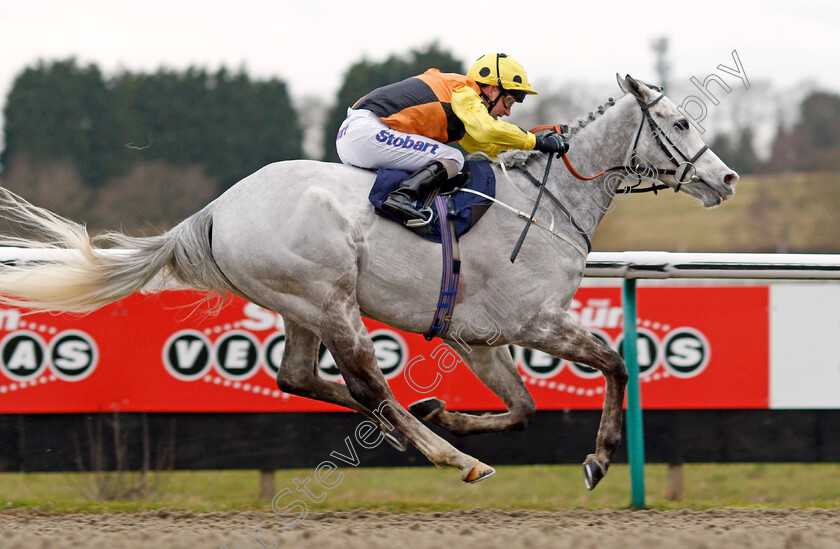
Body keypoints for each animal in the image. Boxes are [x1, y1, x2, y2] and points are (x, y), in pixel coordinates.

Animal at [0, 74, 736, 488]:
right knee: (368, 387)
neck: (548, 201)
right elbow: (615, 363)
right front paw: (600, 458)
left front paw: (451, 411)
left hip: (299, 305)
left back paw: (428, 424)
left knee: (300, 378)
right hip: (330, 301)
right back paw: (450, 456)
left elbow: (524, 407)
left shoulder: (479, 338)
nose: (725, 178)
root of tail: (214, 211)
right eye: (678, 121)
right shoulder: (532, 320)